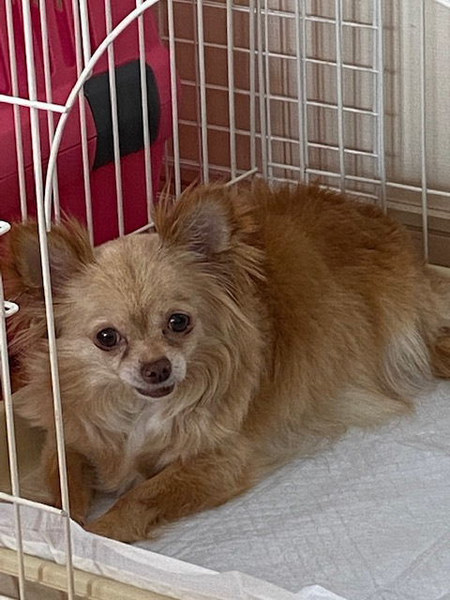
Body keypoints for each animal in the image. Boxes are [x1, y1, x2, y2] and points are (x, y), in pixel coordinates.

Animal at [5, 182, 450, 542]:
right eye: (107, 338)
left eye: (178, 322)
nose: (157, 368)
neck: (139, 411)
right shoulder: (68, 435)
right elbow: (63, 481)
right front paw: (58, 525)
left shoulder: (221, 460)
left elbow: (144, 495)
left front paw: (101, 533)